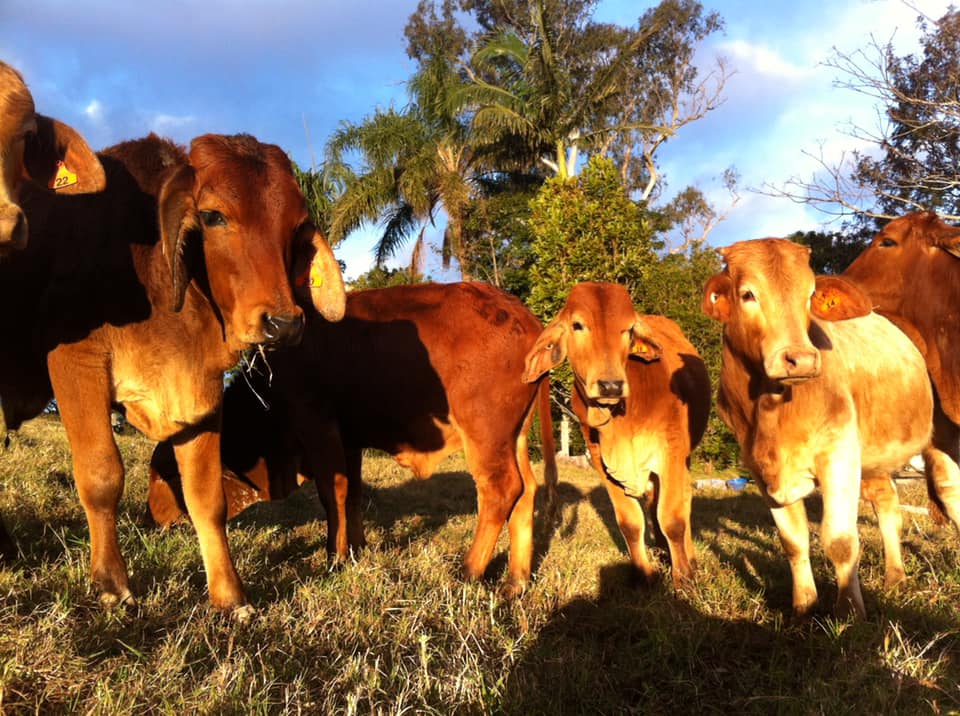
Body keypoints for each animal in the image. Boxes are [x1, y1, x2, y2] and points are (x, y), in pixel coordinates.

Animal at [0, 133, 346, 616]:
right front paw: (111, 583)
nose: (284, 324)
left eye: (296, 226)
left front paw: (229, 595)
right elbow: (102, 476)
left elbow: (207, 499)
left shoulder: (202, 397)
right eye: (213, 216)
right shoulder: (75, 361)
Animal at [146, 281, 558, 598]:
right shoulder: (349, 440)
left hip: (484, 433)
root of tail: (523, 316)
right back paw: (515, 582)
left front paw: (336, 557)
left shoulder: (317, 425)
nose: (149, 518)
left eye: (161, 476)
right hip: (515, 436)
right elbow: (355, 493)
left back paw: (469, 570)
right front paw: (357, 548)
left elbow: (333, 494)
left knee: (501, 489)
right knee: (526, 491)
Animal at [521, 282, 710, 589]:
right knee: (651, 502)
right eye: (577, 325)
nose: (610, 385)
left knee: (682, 503)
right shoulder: (601, 462)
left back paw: (688, 560)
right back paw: (661, 551)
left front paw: (683, 579)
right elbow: (630, 522)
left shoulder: (671, 451)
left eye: (628, 329)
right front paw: (644, 575)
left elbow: (673, 518)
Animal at [702, 238, 932, 619]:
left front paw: (850, 612)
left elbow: (839, 541)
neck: (770, 409)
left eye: (810, 295)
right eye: (748, 294)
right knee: (888, 504)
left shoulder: (838, 454)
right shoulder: (760, 469)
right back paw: (895, 578)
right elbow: (793, 542)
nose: (801, 359)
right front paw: (804, 606)